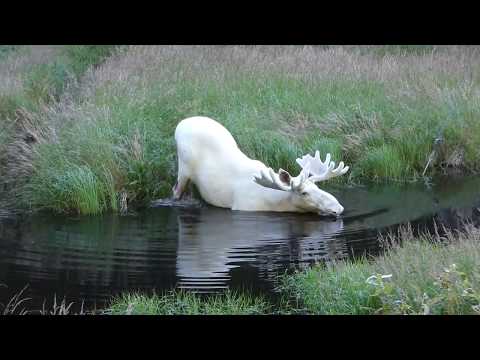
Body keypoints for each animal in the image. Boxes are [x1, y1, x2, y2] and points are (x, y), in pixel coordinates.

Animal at [172, 116, 348, 215]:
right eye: (304, 193)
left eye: (317, 187)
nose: (338, 207)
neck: (277, 203)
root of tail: (180, 124)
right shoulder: (243, 207)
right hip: (184, 169)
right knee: (176, 191)